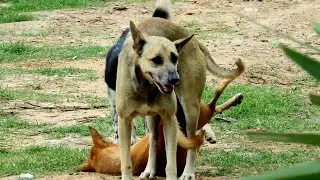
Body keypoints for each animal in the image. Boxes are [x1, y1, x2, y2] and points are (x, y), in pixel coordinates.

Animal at [116, 0, 244, 179]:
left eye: (175, 58)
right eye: (156, 59)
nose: (175, 79)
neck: (147, 87)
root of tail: (193, 40)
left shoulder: (170, 119)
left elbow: (171, 163)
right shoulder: (124, 121)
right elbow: (126, 161)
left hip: (190, 108)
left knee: (194, 139)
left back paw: (188, 172)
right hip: (152, 118)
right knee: (153, 140)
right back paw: (150, 170)